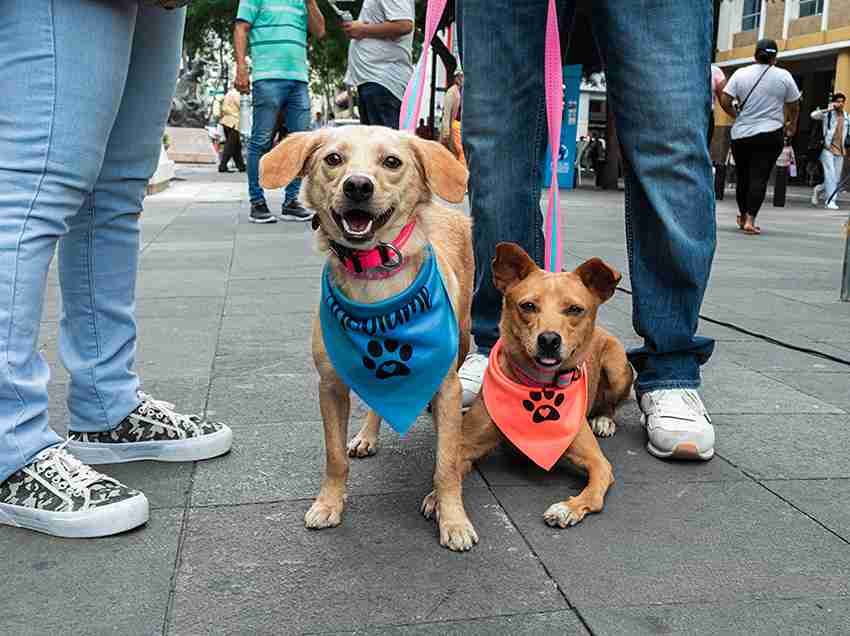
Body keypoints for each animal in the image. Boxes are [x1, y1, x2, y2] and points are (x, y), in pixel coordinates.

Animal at [258, 125, 476, 552]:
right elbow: (334, 456)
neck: (375, 277)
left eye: (392, 161)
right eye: (333, 159)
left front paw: (453, 519)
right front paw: (328, 504)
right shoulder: (330, 386)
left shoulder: (448, 387)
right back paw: (366, 436)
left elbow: (446, 463)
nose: (357, 185)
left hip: (461, 341)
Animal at [422, 243, 628, 532]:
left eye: (575, 309)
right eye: (528, 306)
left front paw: (568, 508)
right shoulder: (465, 446)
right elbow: (448, 468)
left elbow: (594, 492)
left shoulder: (598, 462)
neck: (538, 387)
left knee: (611, 403)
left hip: (617, 366)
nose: (549, 339)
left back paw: (604, 420)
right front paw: (438, 500)